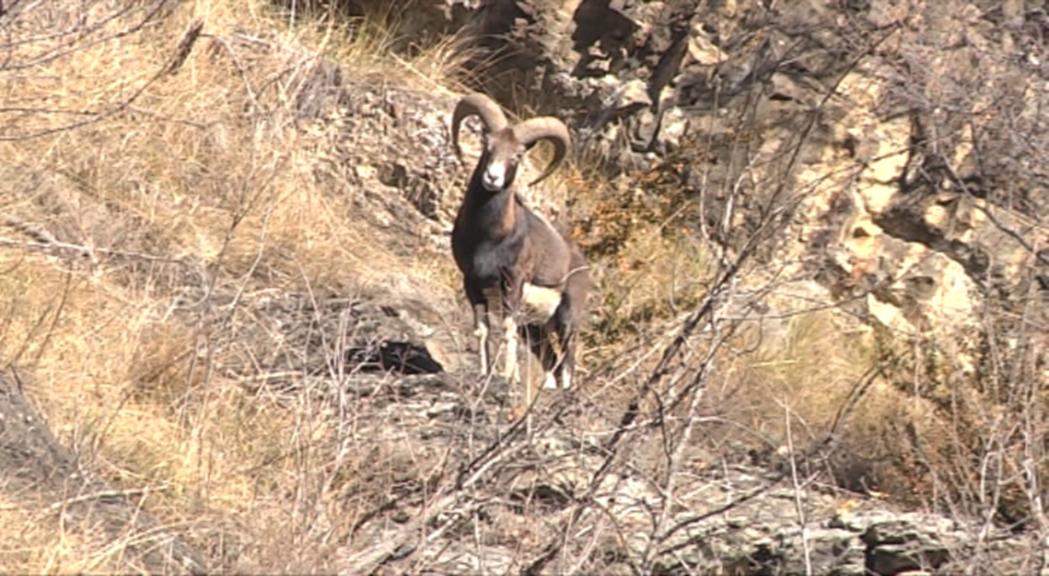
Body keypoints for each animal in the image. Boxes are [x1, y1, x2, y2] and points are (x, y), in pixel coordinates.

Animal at [451, 93, 591, 404]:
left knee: (568, 359)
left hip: (567, 319)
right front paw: (483, 374)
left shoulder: (512, 283)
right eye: (487, 145)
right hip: (537, 329)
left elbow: (506, 330)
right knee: (550, 360)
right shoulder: (472, 283)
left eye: (517, 155)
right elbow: (482, 331)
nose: (492, 178)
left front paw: (508, 378)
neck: (489, 239)